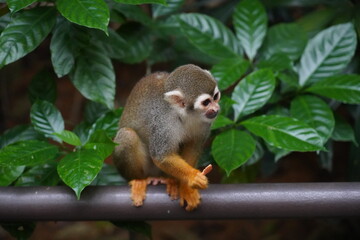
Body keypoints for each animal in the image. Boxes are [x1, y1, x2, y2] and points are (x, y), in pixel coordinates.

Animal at [113, 63, 219, 210]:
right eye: (206, 102)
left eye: (216, 96)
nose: (216, 108)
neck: (185, 114)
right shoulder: (163, 122)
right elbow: (162, 156)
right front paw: (192, 177)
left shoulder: (205, 123)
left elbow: (193, 147)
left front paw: (186, 187)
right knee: (127, 135)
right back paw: (139, 180)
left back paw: (170, 180)